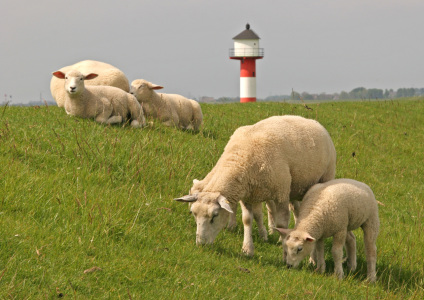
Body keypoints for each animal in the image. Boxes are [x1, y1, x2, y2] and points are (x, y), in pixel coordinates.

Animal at [174, 115, 336, 255]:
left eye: (215, 216)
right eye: (194, 214)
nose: (201, 244)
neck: (240, 158)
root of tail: (313, 121)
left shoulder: (281, 193)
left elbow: (282, 223)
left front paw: (282, 243)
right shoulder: (249, 195)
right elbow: (247, 219)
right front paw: (247, 248)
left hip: (323, 177)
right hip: (295, 187)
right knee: (297, 209)